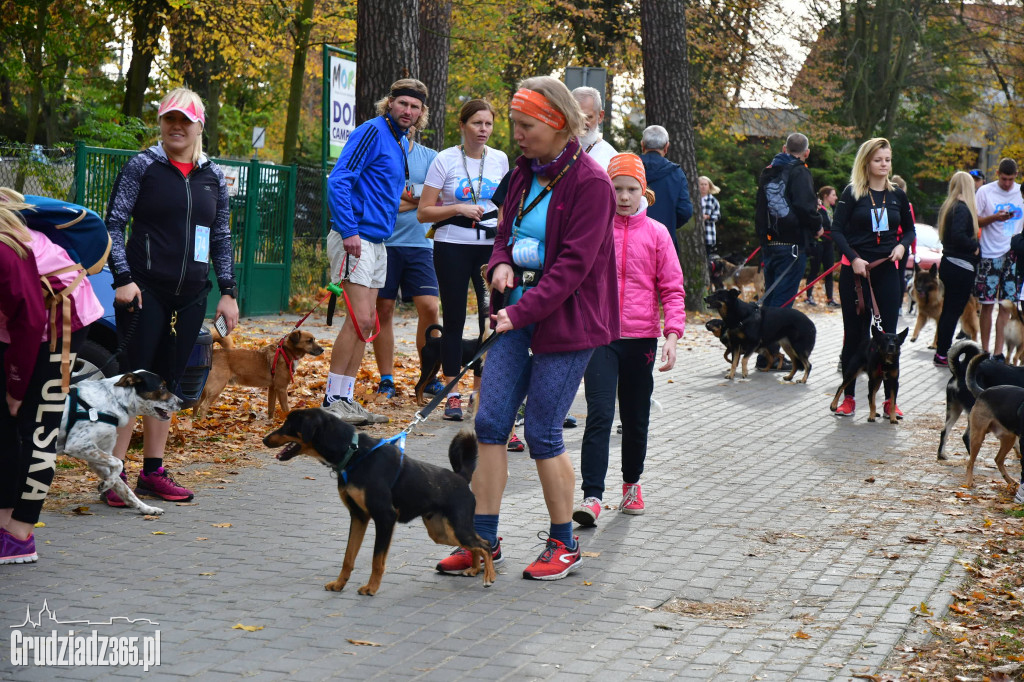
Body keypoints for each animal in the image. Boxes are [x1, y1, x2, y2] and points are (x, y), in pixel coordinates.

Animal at [57, 368, 184, 512]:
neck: (112, 400)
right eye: (162, 387)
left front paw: (146, 508)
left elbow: (125, 489)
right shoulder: (77, 445)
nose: (182, 402)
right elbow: (119, 463)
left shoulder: (96, 459)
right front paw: (106, 484)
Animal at [191, 327, 319, 417]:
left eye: (314, 339)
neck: (286, 352)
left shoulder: (273, 388)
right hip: (217, 387)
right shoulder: (281, 389)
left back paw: (194, 423)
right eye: (309, 341)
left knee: (196, 404)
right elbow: (286, 408)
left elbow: (271, 409)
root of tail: (214, 352)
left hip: (205, 389)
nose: (322, 350)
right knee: (203, 407)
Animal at [264, 405, 495, 593]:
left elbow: (377, 560)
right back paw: (474, 569)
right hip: (442, 532)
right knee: (477, 545)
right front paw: (339, 584)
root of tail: (461, 479)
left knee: (484, 545)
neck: (353, 454)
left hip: (456, 528)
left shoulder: (385, 518)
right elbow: (348, 557)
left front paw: (371, 588)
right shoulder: (358, 516)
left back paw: (488, 576)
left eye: (288, 425)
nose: (265, 439)